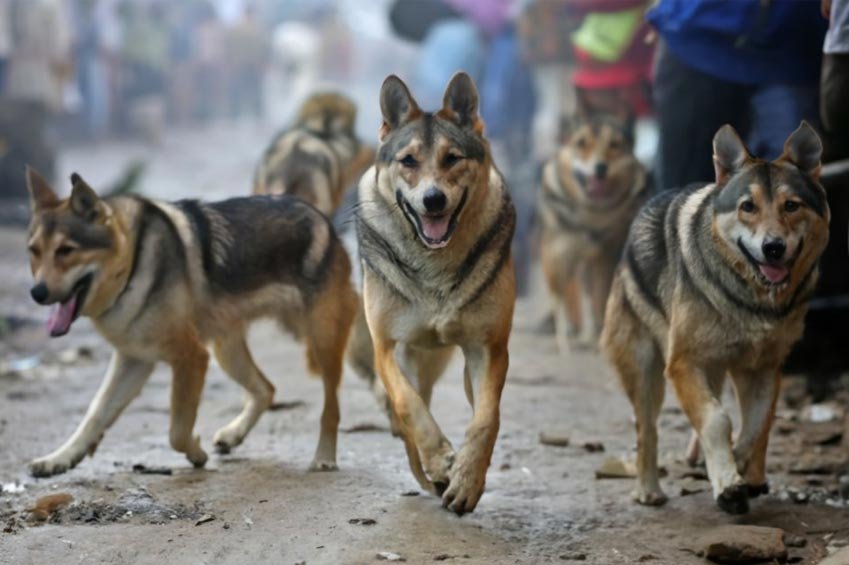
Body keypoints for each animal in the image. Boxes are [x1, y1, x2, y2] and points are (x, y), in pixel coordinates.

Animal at [23, 167, 354, 476]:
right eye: (34, 252)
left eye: (66, 250)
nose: (37, 293)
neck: (133, 264)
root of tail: (319, 217)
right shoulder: (134, 360)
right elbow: (95, 414)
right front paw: (61, 457)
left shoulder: (191, 357)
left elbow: (177, 431)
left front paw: (196, 453)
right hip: (227, 351)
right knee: (266, 389)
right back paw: (234, 434)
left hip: (320, 341)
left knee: (331, 407)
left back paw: (325, 456)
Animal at [352, 72, 516, 512]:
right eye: (408, 161)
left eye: (452, 158)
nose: (433, 199)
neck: (434, 267)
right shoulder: (386, 346)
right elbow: (409, 407)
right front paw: (441, 461)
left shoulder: (488, 347)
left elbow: (486, 419)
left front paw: (466, 482)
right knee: (407, 407)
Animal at [540, 106, 644, 350]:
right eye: (582, 143)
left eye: (614, 145)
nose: (600, 168)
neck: (593, 215)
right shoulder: (560, 254)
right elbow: (567, 297)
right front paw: (571, 340)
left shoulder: (608, 254)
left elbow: (602, 294)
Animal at [600, 121, 832, 512]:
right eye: (747, 207)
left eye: (791, 206)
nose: (773, 247)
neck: (751, 302)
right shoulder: (682, 364)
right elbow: (716, 421)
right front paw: (727, 482)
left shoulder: (764, 368)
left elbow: (756, 426)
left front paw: (739, 469)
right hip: (646, 372)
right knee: (647, 429)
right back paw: (648, 490)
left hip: (727, 369)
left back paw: (748, 474)